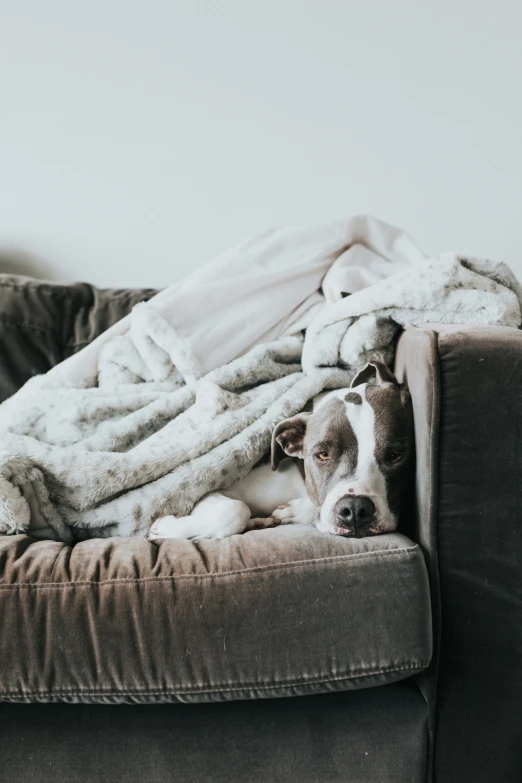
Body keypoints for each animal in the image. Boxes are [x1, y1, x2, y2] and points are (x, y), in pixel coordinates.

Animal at [147, 362, 410, 544]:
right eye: (322, 455)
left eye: (395, 455)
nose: (355, 510)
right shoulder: (212, 490)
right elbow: (236, 509)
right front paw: (165, 526)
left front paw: (293, 513)